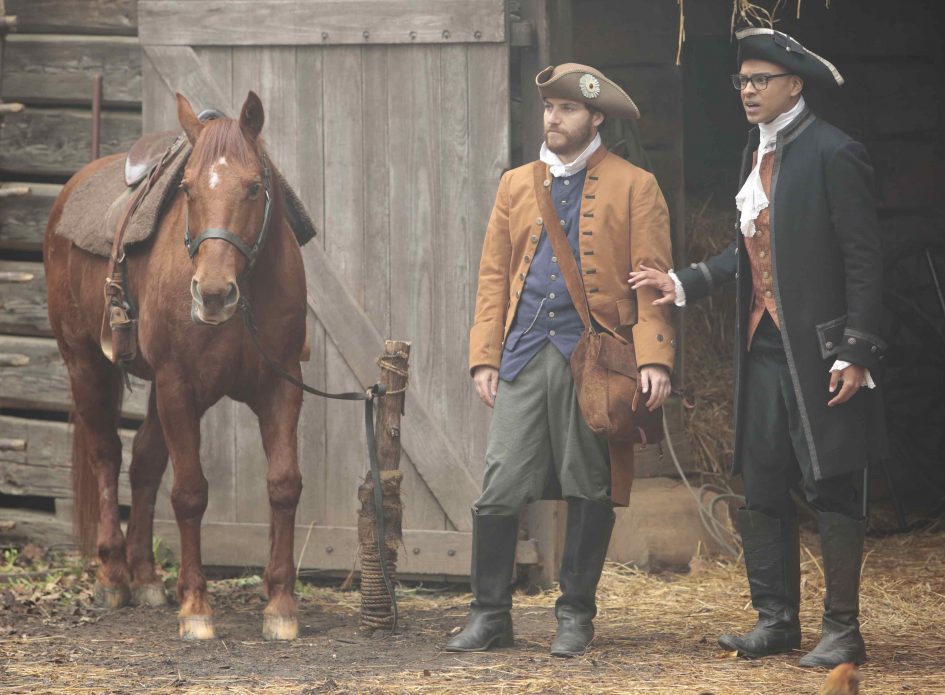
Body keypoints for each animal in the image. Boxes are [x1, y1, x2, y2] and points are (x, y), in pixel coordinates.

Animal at [44, 92, 306, 640]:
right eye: (186, 188)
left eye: (254, 187)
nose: (213, 293)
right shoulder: (177, 385)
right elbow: (189, 493)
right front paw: (197, 608)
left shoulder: (281, 386)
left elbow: (283, 484)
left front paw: (280, 604)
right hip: (86, 365)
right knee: (107, 456)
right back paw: (113, 576)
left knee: (144, 460)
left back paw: (145, 578)